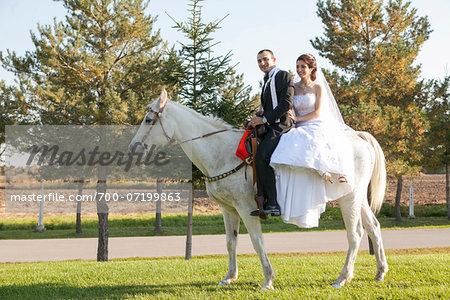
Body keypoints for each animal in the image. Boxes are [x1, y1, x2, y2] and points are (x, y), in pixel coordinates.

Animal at [128, 90, 388, 290]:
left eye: (149, 120)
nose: (133, 147)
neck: (222, 152)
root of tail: (358, 137)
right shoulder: (228, 209)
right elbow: (230, 242)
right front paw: (229, 277)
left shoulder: (246, 208)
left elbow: (257, 242)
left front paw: (268, 280)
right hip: (358, 199)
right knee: (373, 227)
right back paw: (380, 272)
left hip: (349, 199)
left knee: (355, 234)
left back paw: (342, 278)